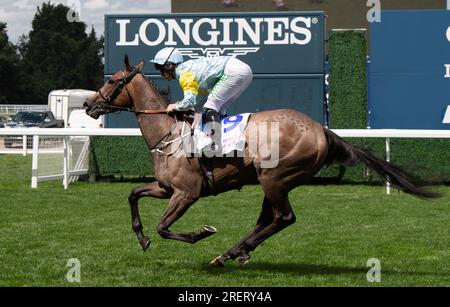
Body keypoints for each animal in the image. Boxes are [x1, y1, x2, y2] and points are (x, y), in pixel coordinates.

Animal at [82, 56, 438, 268]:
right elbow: (133, 195)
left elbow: (165, 227)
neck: (169, 132)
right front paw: (142, 238)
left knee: (283, 218)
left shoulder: (187, 192)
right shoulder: (165, 187)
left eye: (112, 81)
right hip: (273, 181)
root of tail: (321, 129)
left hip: (275, 178)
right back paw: (233, 252)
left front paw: (202, 232)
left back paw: (231, 251)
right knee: (270, 219)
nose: (88, 105)